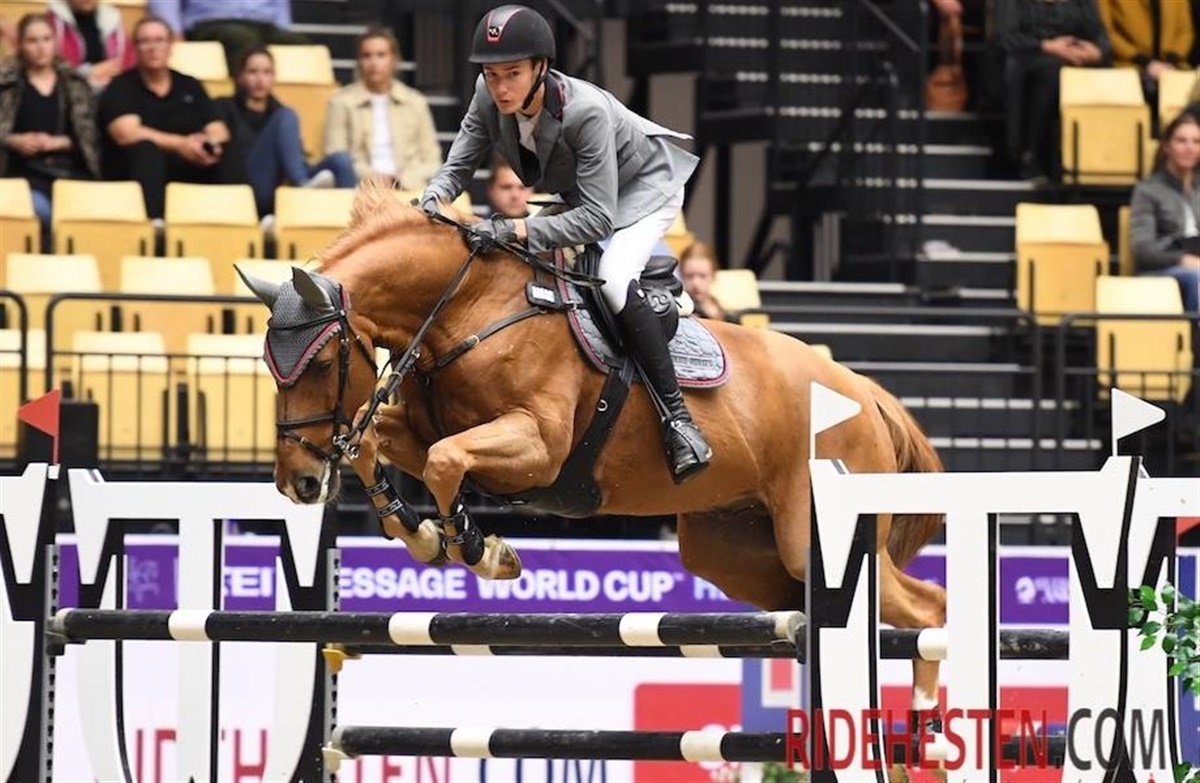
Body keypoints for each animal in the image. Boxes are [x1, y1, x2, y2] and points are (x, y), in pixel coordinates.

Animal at [236, 178, 948, 726]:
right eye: (269, 365)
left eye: (319, 361)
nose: (297, 483)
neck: (470, 306)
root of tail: (862, 389)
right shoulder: (418, 425)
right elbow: (371, 441)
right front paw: (420, 532)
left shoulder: (539, 446)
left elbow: (444, 462)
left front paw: (477, 546)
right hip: (740, 554)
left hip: (810, 532)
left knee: (928, 610)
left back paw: (929, 734)